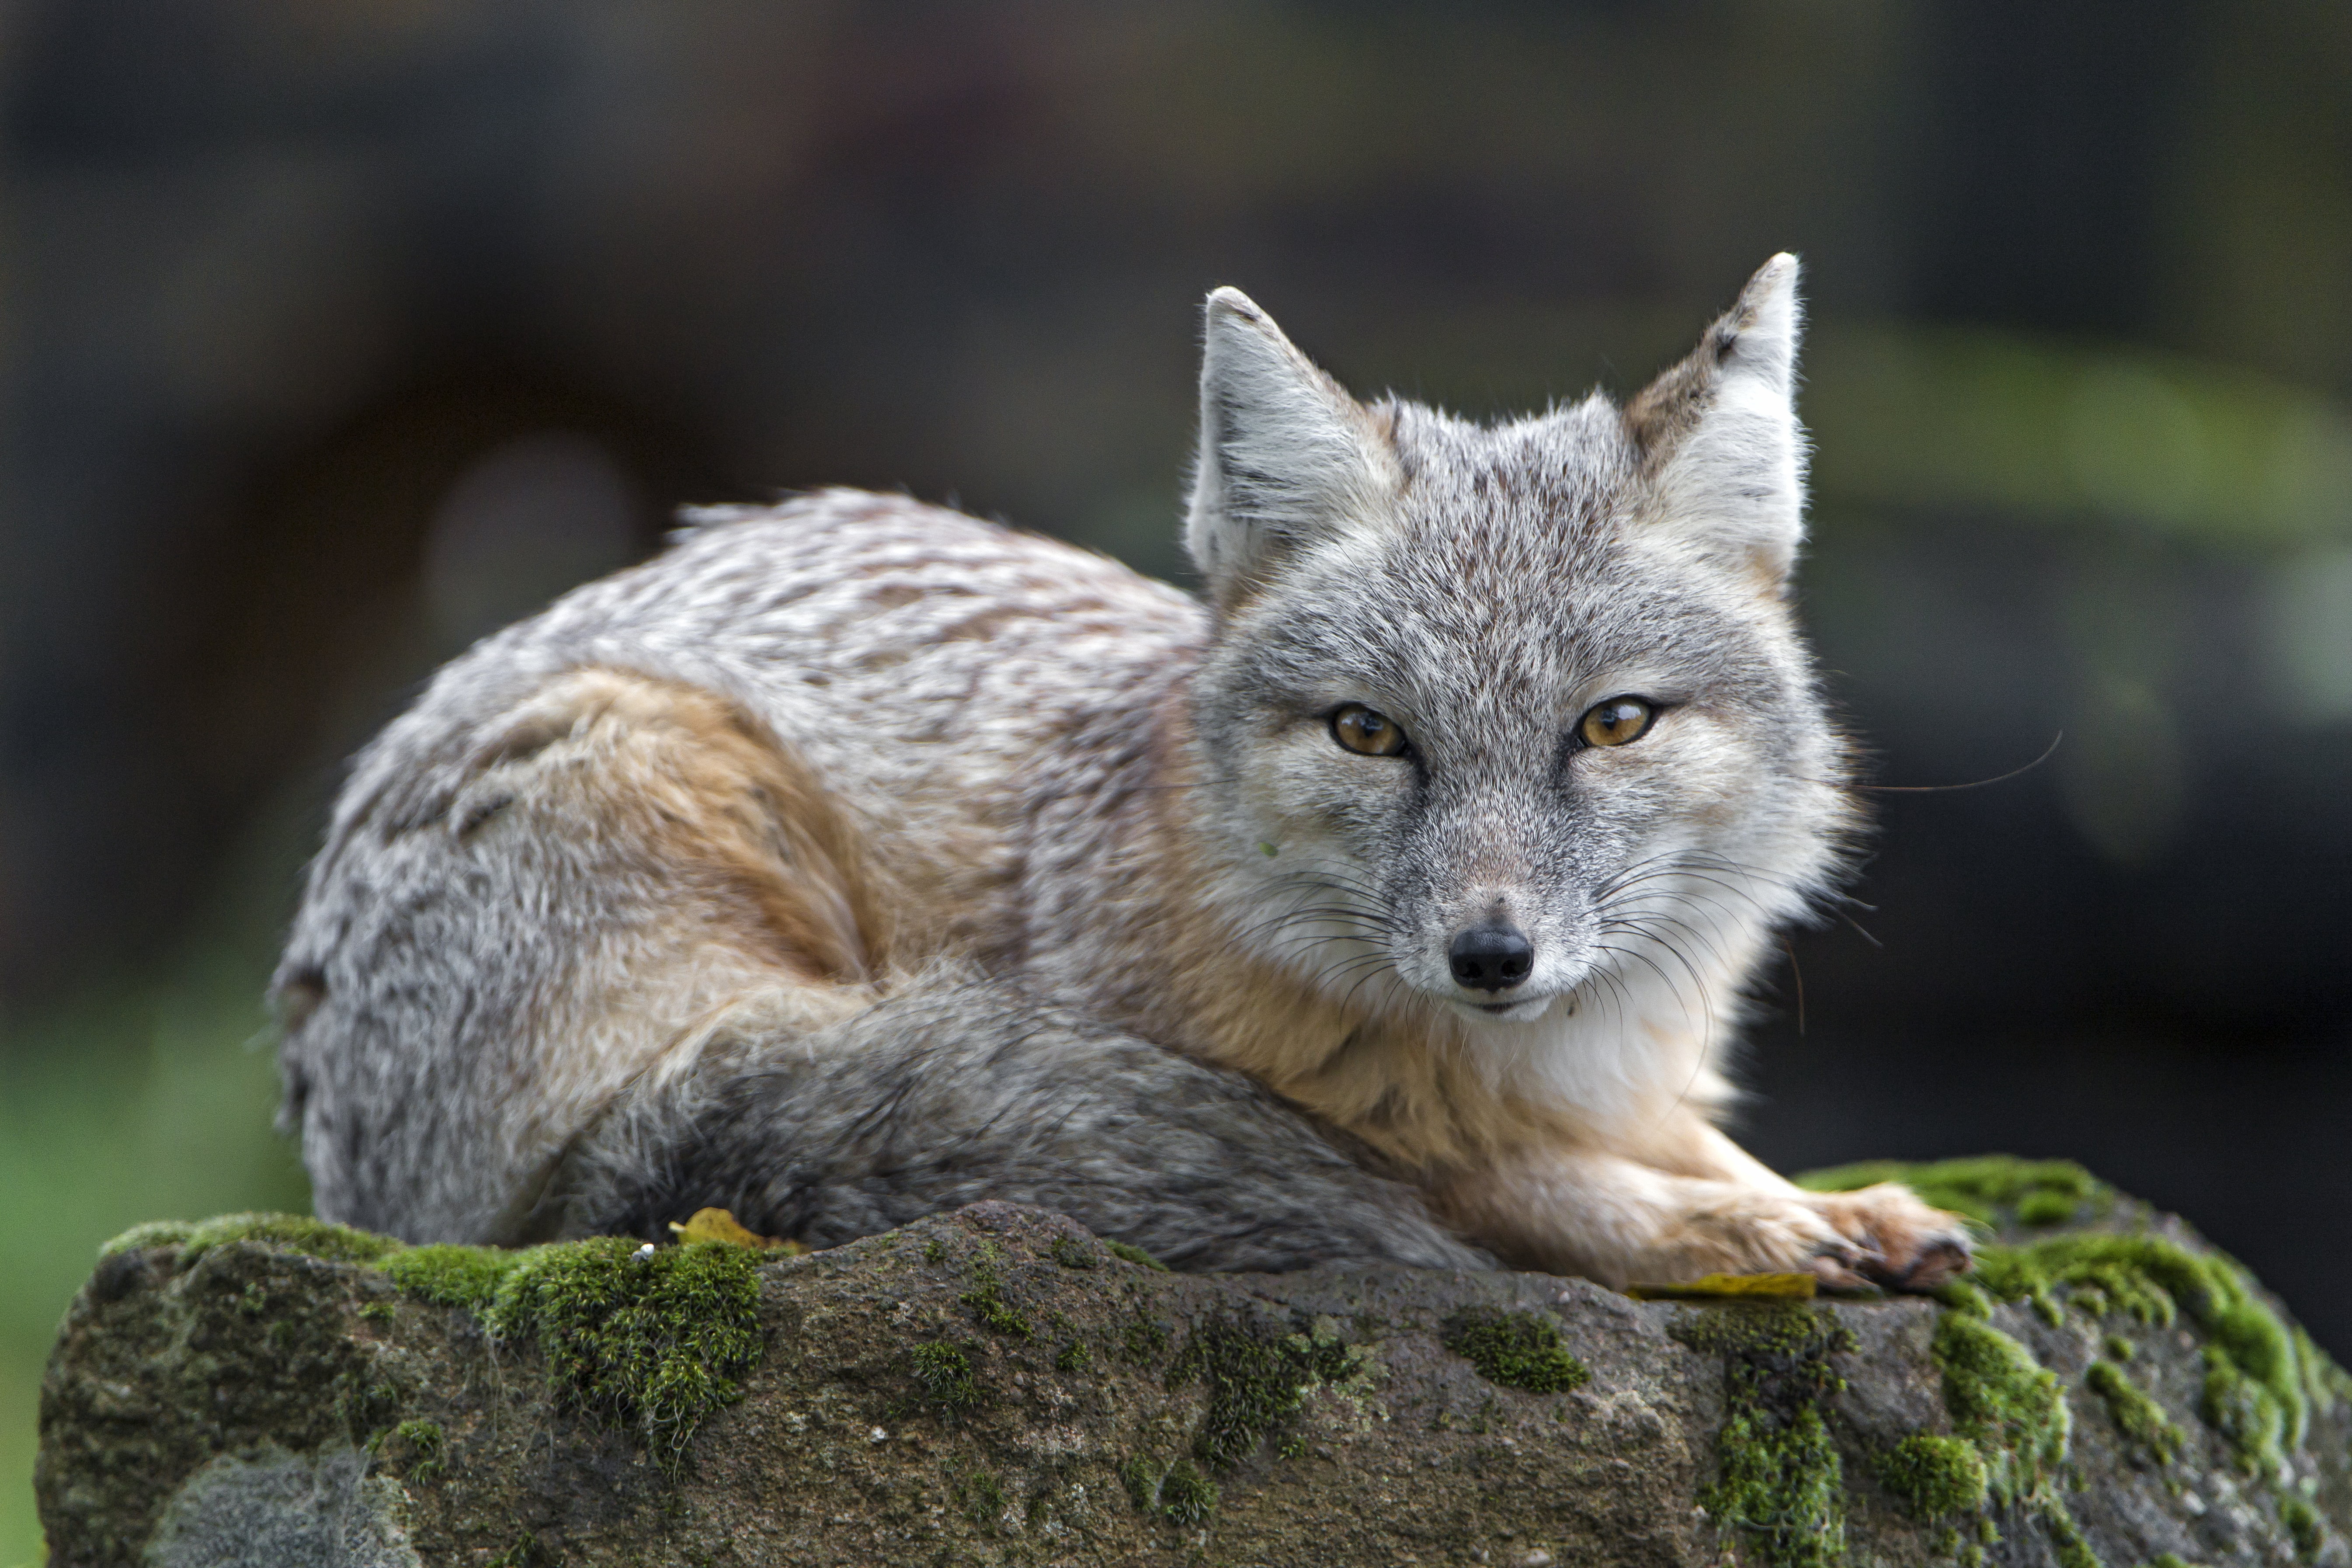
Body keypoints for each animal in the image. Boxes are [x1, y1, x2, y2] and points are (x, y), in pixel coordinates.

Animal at [273, 254, 1971, 1289]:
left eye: (1609, 725)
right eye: (1371, 732)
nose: (1491, 954)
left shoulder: (1627, 1082)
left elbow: (1683, 1141)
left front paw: (1819, 1196)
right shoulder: (1364, 1123)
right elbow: (1510, 1187)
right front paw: (1730, 1226)